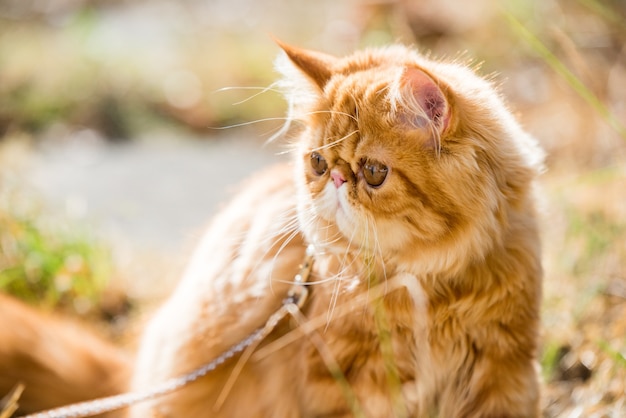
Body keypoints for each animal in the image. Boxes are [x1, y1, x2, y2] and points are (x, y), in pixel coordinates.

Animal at [0, 43, 540, 418]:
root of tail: (136, 378)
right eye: (319, 163)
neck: (432, 287)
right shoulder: (337, 383)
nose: (335, 180)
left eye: (373, 172)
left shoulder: (504, 373)